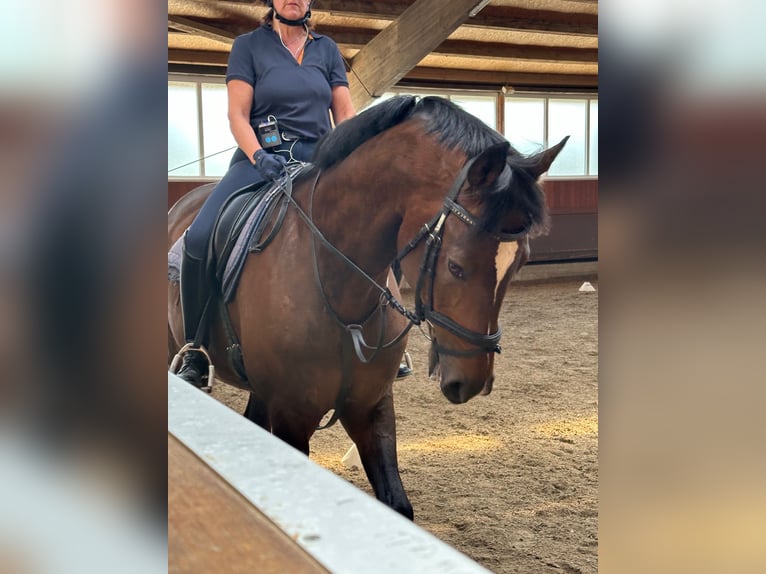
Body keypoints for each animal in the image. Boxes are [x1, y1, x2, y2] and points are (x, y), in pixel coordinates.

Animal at [168, 95, 567, 519]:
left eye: (521, 262)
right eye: (456, 266)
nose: (472, 383)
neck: (338, 290)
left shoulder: (370, 404)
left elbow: (398, 505)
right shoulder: (292, 413)